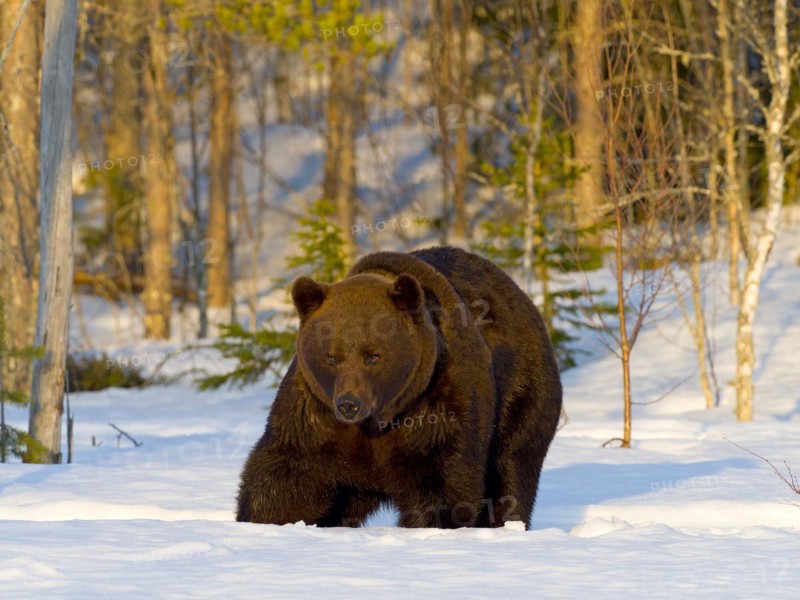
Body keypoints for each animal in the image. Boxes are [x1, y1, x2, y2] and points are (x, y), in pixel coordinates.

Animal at [236, 246, 562, 529]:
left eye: (373, 355)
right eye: (331, 356)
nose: (349, 403)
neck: (375, 421)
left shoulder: (436, 406)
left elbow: (443, 483)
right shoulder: (315, 415)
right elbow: (285, 479)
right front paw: (266, 520)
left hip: (521, 390)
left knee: (511, 468)